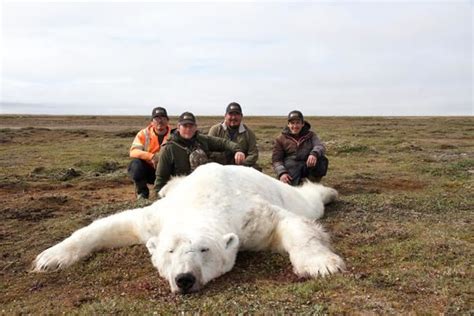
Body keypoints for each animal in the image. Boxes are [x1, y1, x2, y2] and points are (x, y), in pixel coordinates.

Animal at [32, 163, 344, 294]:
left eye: (204, 249)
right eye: (170, 251)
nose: (184, 279)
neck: (201, 200)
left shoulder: (250, 217)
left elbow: (292, 224)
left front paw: (323, 265)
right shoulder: (156, 219)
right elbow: (115, 223)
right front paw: (49, 258)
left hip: (286, 192)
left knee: (309, 202)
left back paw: (329, 192)